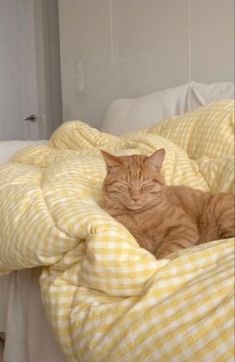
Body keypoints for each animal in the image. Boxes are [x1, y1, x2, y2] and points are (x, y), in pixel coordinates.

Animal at [101, 148, 235, 258]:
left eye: (145, 185)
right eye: (125, 185)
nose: (135, 198)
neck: (139, 215)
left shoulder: (185, 228)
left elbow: (167, 250)